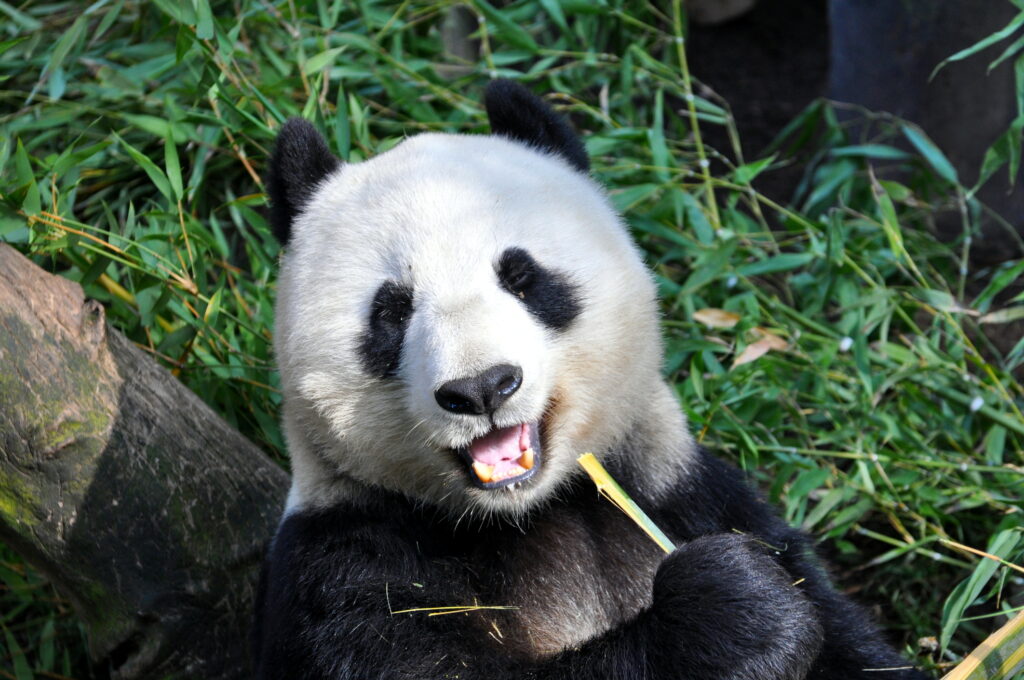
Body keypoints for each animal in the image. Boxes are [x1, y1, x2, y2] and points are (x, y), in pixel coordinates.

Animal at [252, 80, 930, 680]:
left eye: (522, 277)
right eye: (392, 311)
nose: (482, 387)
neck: (532, 511)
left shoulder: (682, 488)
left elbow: (843, 640)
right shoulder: (349, 561)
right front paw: (733, 608)